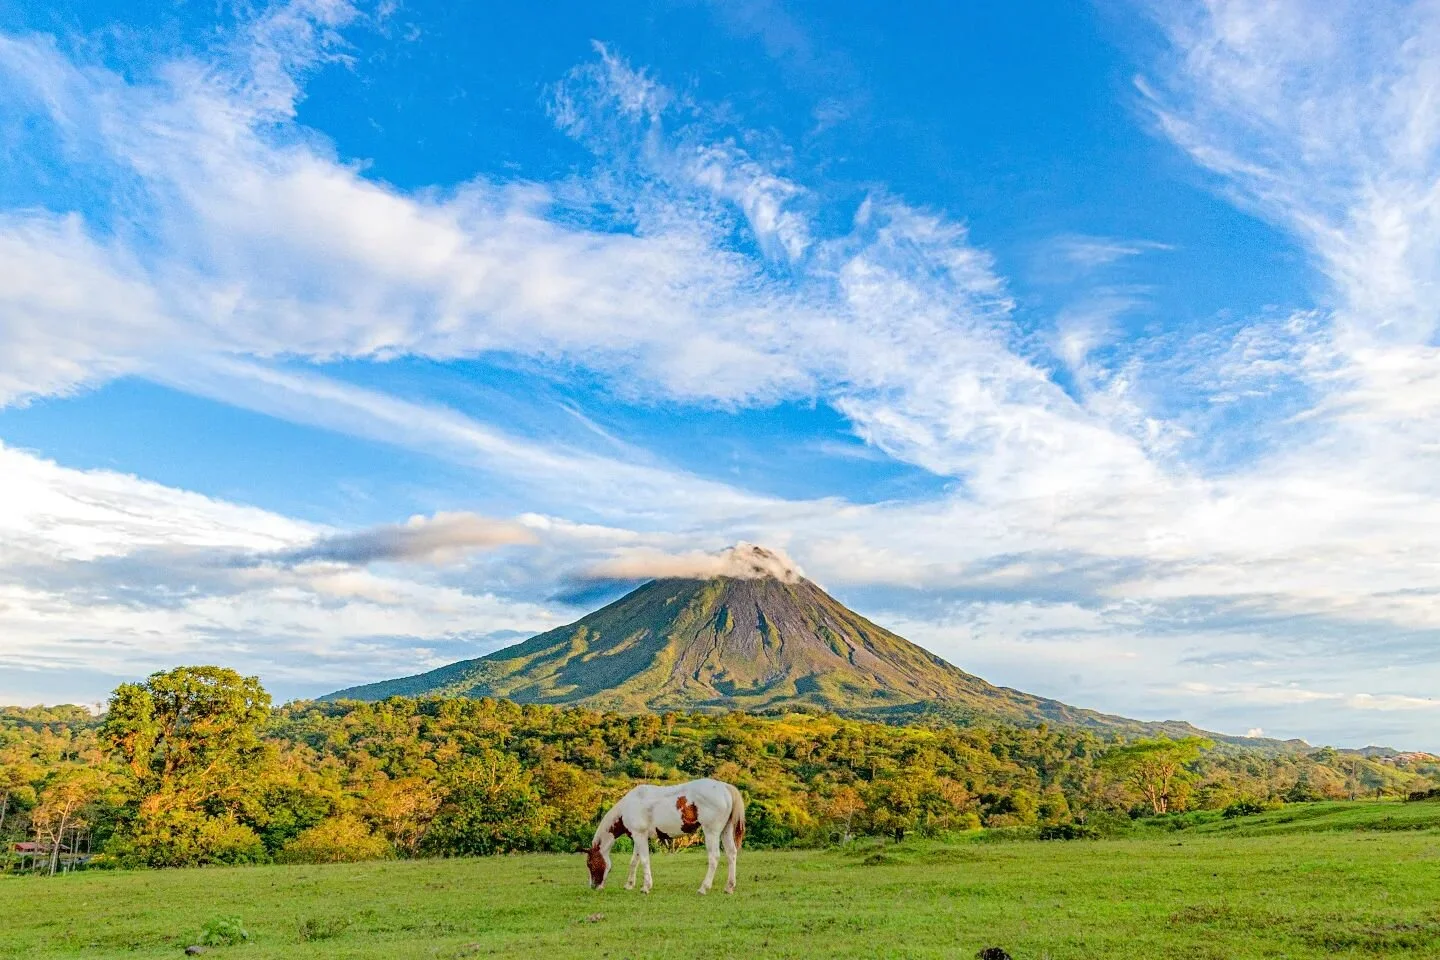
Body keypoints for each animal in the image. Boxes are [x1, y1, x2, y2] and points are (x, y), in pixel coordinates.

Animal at [584, 777, 748, 898]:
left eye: (590, 864)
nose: (593, 886)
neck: (629, 806)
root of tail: (724, 787)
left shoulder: (640, 836)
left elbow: (644, 860)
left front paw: (646, 887)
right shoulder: (638, 837)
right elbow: (634, 861)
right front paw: (629, 885)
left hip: (711, 832)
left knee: (714, 857)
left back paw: (703, 888)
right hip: (725, 831)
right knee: (731, 854)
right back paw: (729, 887)